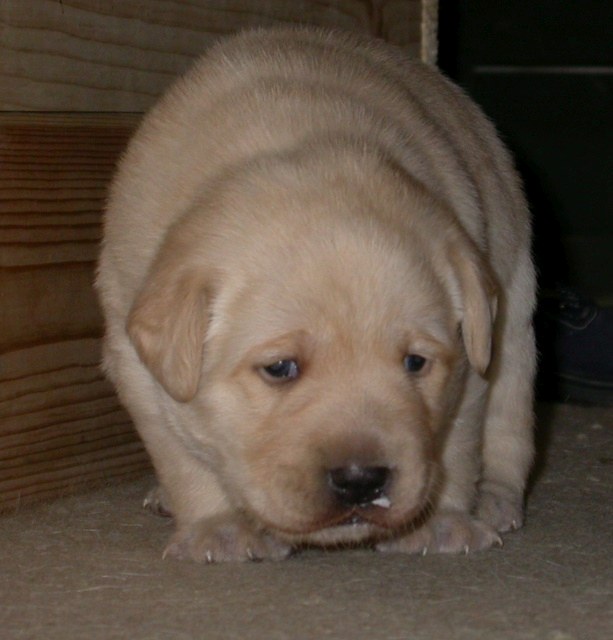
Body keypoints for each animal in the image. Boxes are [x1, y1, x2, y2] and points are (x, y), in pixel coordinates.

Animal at [96, 27, 536, 562]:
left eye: (415, 363)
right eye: (280, 368)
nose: (361, 480)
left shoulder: (467, 365)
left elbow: (458, 443)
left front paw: (441, 521)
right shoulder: (136, 362)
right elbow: (182, 455)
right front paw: (219, 527)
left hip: (513, 311)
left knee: (509, 421)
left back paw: (494, 498)